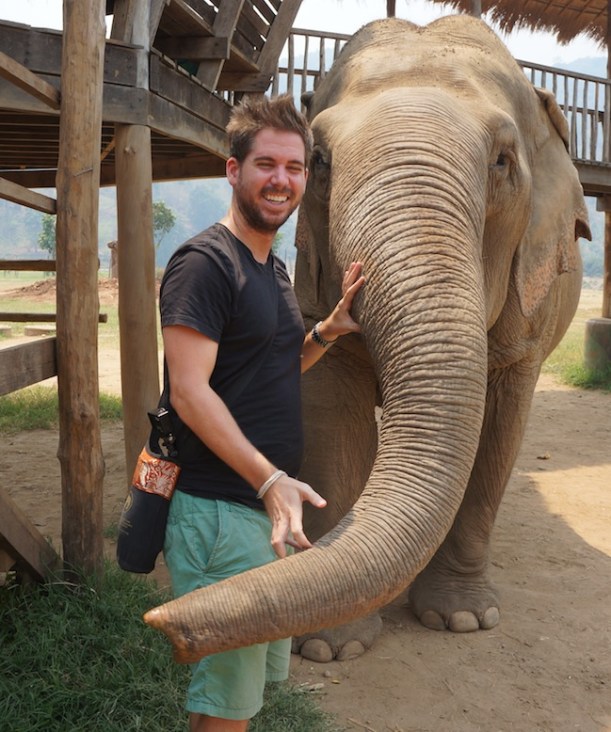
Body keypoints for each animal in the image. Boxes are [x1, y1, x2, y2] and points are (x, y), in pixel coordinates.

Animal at [144, 14, 590, 665]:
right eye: (318, 159)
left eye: (503, 161)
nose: (160, 626)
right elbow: (334, 410)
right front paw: (333, 648)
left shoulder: (528, 320)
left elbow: (500, 428)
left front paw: (463, 619)